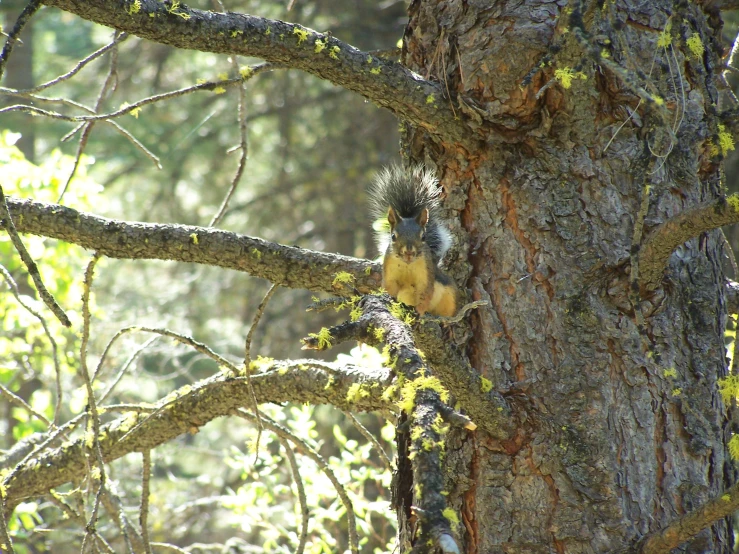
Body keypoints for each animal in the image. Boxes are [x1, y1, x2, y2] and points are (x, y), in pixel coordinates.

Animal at [368, 164, 456, 314]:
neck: (407, 265)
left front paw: (419, 311)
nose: (409, 252)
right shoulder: (390, 273)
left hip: (449, 297)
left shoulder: (425, 276)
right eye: (393, 236)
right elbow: (390, 288)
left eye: (423, 236)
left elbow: (425, 294)